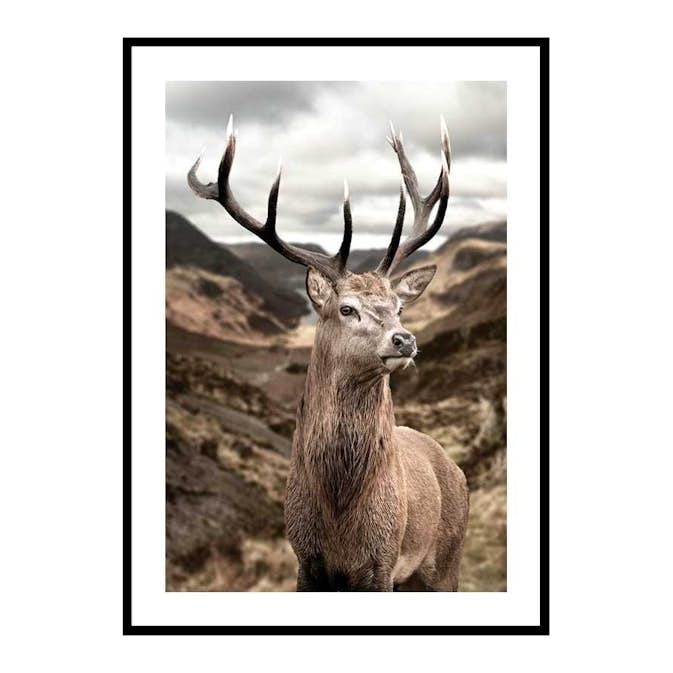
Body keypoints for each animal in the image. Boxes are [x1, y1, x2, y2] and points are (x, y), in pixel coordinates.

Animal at [188, 115, 469, 591]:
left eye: (398, 307)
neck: (339, 519)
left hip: (445, 561)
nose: (405, 340)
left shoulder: (382, 563)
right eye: (346, 308)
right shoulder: (305, 559)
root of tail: (455, 466)